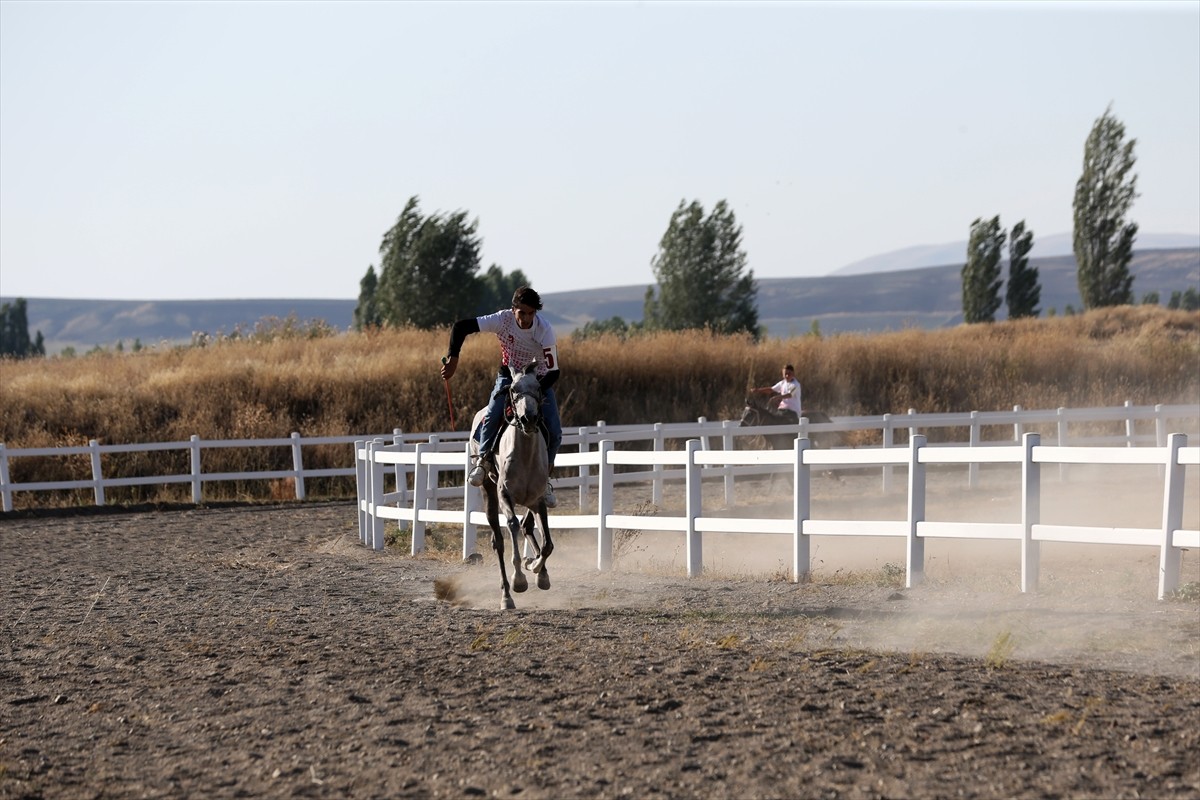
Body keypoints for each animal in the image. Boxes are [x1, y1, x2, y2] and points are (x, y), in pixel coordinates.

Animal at [472, 359, 556, 609]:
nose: (529, 418)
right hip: (488, 491)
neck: (525, 454)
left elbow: (547, 544)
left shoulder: (537, 500)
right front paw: (519, 579)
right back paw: (507, 596)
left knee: (528, 526)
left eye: (538, 388)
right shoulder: (504, 495)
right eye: (513, 390)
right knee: (498, 541)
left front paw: (537, 569)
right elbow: (512, 526)